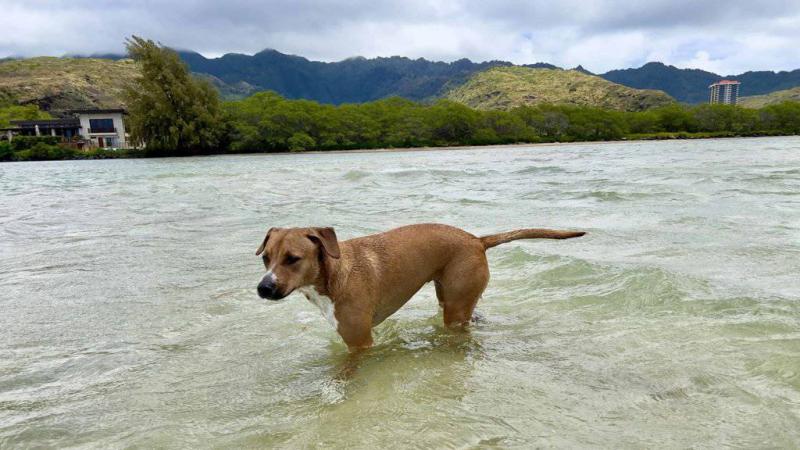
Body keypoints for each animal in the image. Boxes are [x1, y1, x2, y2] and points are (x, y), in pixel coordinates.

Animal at [256, 223, 580, 350]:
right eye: (266, 258)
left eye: (293, 259)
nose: (263, 288)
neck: (333, 274)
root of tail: (477, 239)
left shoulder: (360, 343)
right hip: (453, 298)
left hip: (455, 309)